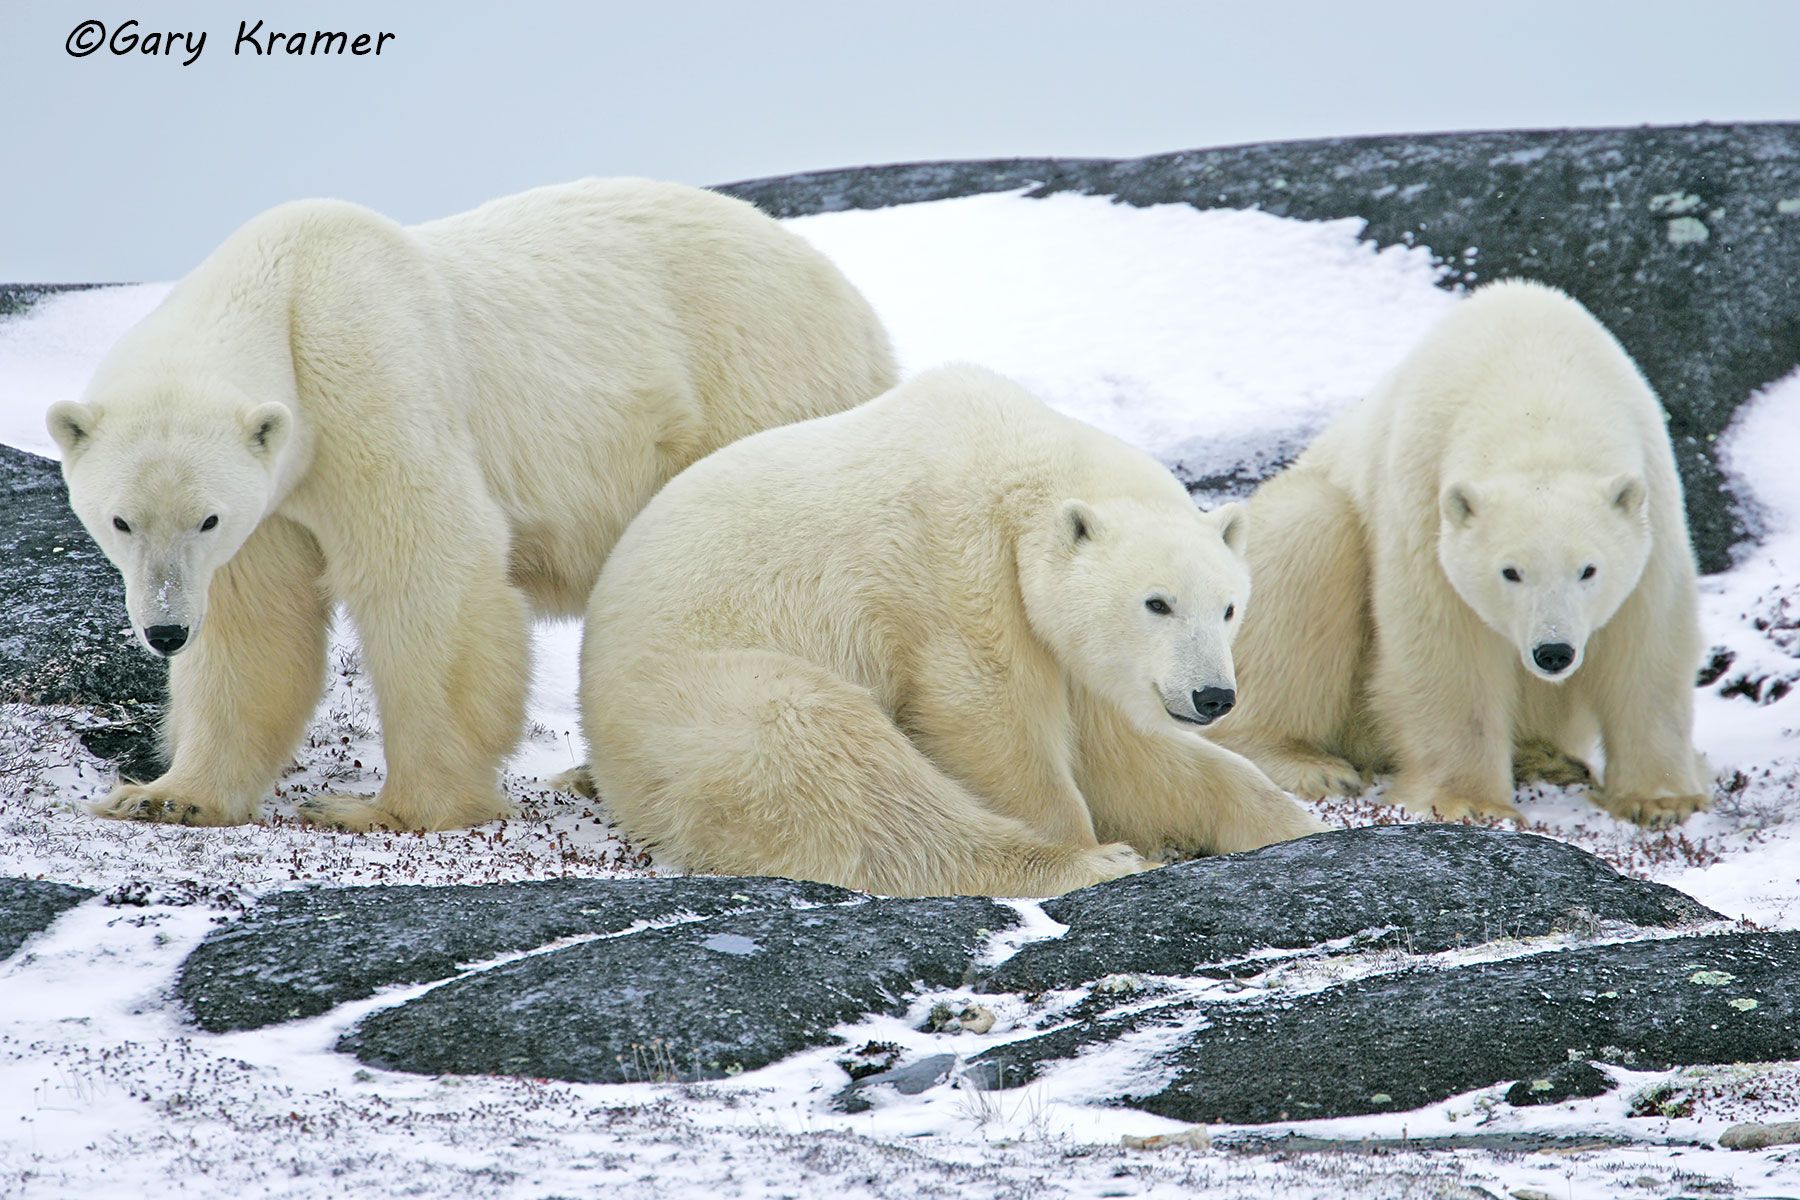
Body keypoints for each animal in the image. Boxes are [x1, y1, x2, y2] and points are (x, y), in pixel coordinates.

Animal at [47, 178, 896, 831]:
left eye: (206, 517)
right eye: (121, 521)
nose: (164, 630)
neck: (288, 289)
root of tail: (859, 310)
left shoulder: (373, 383)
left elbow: (430, 575)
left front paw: (385, 809)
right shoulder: (272, 504)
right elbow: (253, 626)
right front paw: (166, 797)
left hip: (755, 391)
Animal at [562, 364, 1324, 897]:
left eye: (1228, 607)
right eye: (1156, 603)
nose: (1212, 697)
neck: (1019, 460)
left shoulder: (1070, 649)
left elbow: (1128, 756)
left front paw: (1294, 824)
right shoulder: (953, 568)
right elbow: (987, 717)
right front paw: (1090, 843)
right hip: (704, 695)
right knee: (845, 779)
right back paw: (1082, 866)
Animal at [1211, 279, 1710, 828]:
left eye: (1589, 570)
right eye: (1510, 572)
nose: (1553, 651)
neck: (1538, 384)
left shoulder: (1654, 503)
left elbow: (1648, 640)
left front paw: (1662, 800)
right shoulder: (1422, 493)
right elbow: (1445, 643)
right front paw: (1470, 802)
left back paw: (1545, 758)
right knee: (1307, 534)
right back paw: (1309, 765)